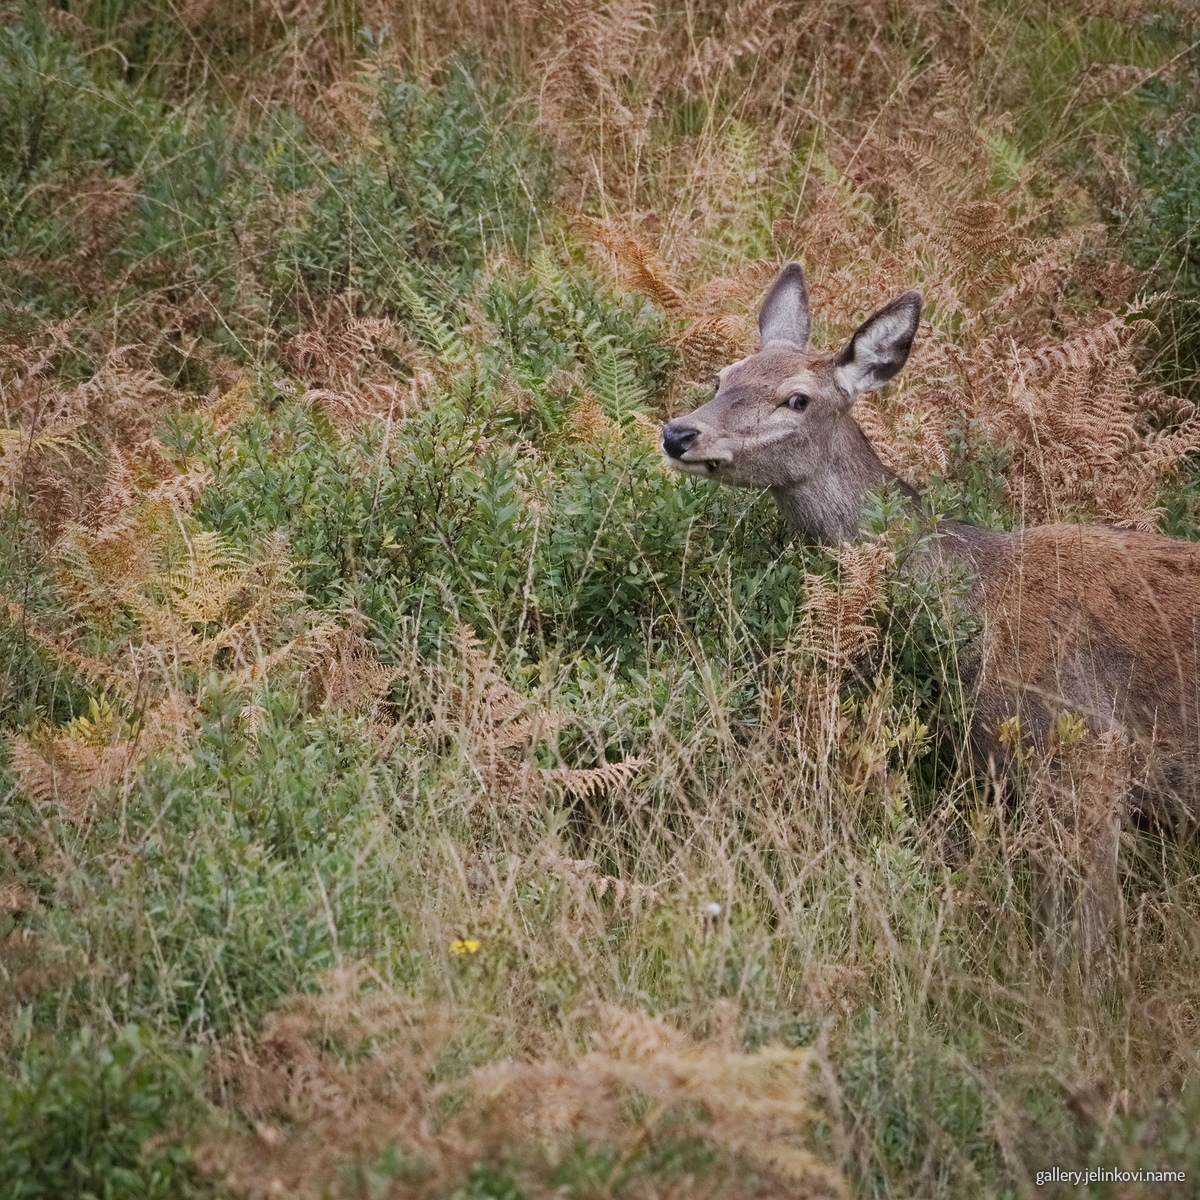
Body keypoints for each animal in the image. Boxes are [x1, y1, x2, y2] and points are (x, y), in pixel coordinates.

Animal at [661, 261, 1200, 956]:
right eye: (722, 377)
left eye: (798, 399)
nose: (679, 432)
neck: (975, 600)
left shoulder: (1086, 755)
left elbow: (1082, 937)